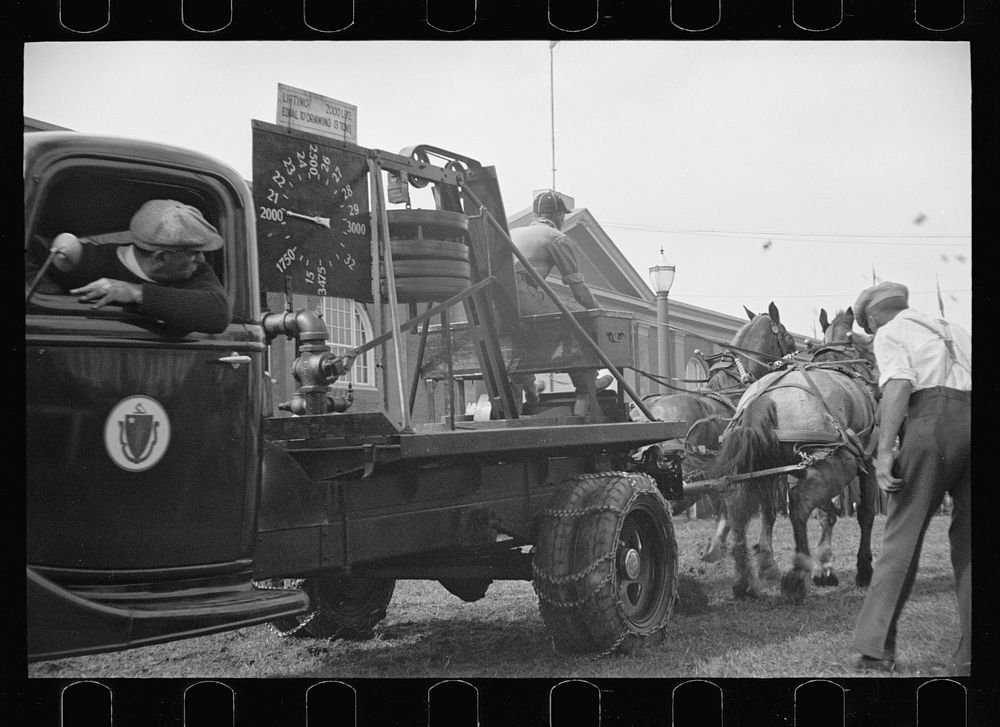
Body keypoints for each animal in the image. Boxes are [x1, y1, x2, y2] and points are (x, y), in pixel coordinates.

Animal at [632, 302, 796, 564]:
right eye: (788, 338)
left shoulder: (724, 473)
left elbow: (725, 509)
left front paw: (718, 549)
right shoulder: (761, 467)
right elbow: (763, 510)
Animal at [712, 308, 876, 604]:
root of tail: (763, 399)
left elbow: (823, 513)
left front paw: (824, 569)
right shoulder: (868, 458)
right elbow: (864, 513)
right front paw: (860, 569)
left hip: (754, 468)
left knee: (739, 508)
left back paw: (745, 580)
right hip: (840, 464)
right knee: (799, 504)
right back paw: (796, 576)